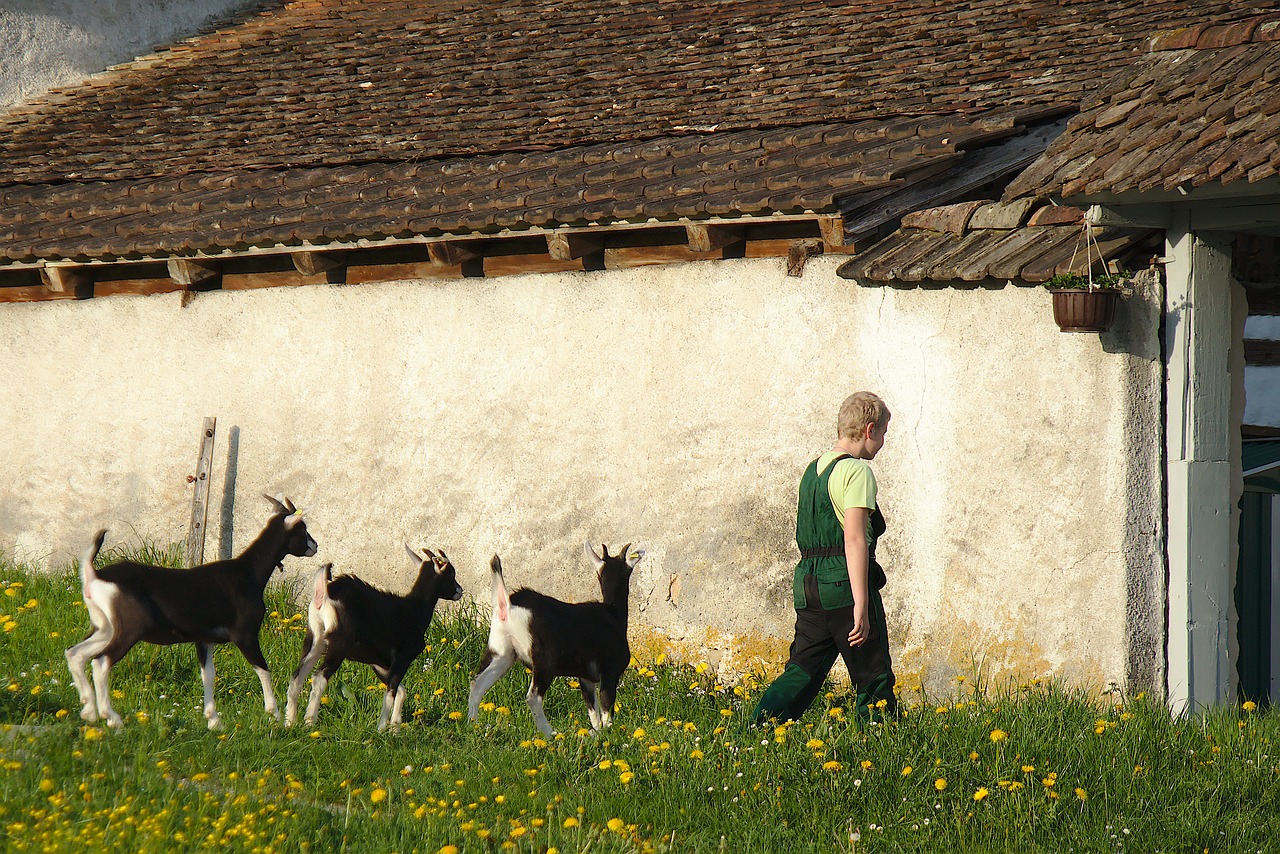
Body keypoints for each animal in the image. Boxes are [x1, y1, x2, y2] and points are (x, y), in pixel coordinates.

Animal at [64, 494, 317, 727]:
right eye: (303, 529)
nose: (315, 546)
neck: (248, 573)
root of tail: (94, 574)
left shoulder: (203, 639)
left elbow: (208, 676)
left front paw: (214, 721)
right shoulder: (245, 635)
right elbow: (263, 669)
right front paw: (275, 715)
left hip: (104, 627)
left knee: (75, 654)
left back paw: (89, 711)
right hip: (129, 630)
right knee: (100, 662)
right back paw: (111, 717)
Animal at [285, 545, 465, 732]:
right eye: (451, 574)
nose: (460, 591)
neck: (414, 608)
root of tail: (326, 592)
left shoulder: (379, 664)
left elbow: (400, 691)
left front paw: (395, 728)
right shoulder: (402, 658)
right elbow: (391, 693)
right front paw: (382, 728)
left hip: (314, 639)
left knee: (297, 676)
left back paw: (289, 723)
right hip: (339, 644)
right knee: (319, 677)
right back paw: (309, 722)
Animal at [468, 545, 640, 737]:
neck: (613, 614)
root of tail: (507, 604)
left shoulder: (586, 678)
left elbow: (593, 711)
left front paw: (596, 733)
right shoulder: (610, 672)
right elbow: (606, 708)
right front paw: (609, 733)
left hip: (501, 653)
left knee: (477, 684)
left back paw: (472, 725)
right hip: (544, 662)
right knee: (533, 697)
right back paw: (550, 733)